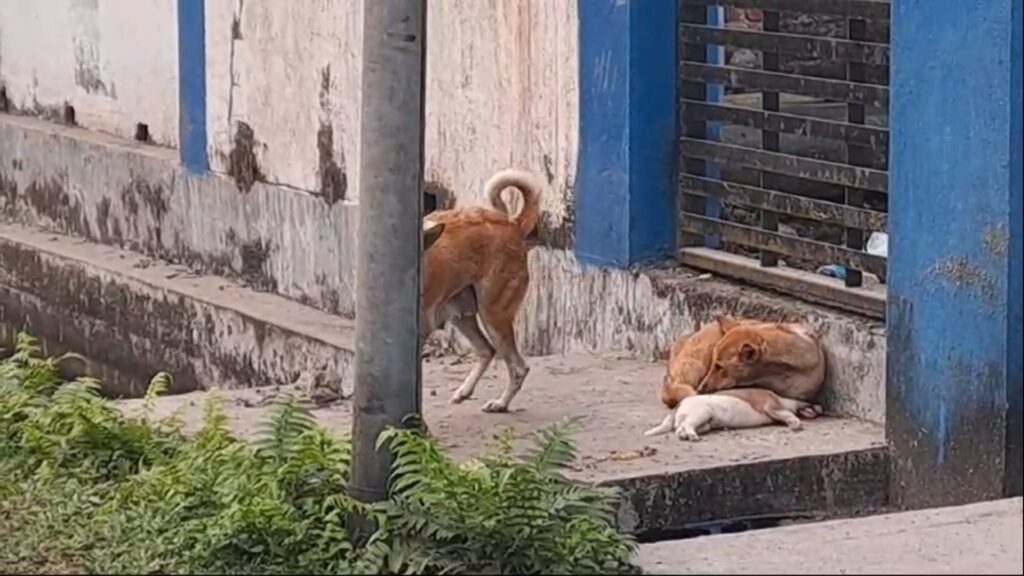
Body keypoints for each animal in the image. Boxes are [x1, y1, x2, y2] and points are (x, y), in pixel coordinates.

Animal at [417, 168, 544, 409]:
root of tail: (512, 223)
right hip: (462, 315)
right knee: (487, 350)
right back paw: (465, 392)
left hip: (493, 314)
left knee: (518, 367)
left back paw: (501, 404)